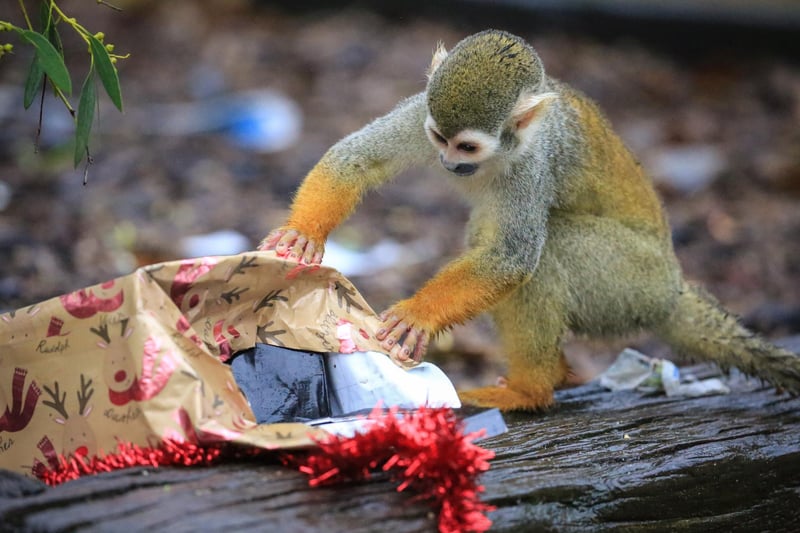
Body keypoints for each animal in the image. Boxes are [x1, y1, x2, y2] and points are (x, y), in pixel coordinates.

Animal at [262, 29, 800, 410]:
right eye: (440, 139)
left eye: (468, 147)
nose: (449, 164)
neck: (505, 149)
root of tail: (672, 289)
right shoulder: (423, 110)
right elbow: (354, 160)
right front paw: (304, 234)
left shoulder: (532, 163)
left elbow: (511, 259)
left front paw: (417, 314)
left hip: (629, 281)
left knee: (545, 255)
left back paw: (530, 390)